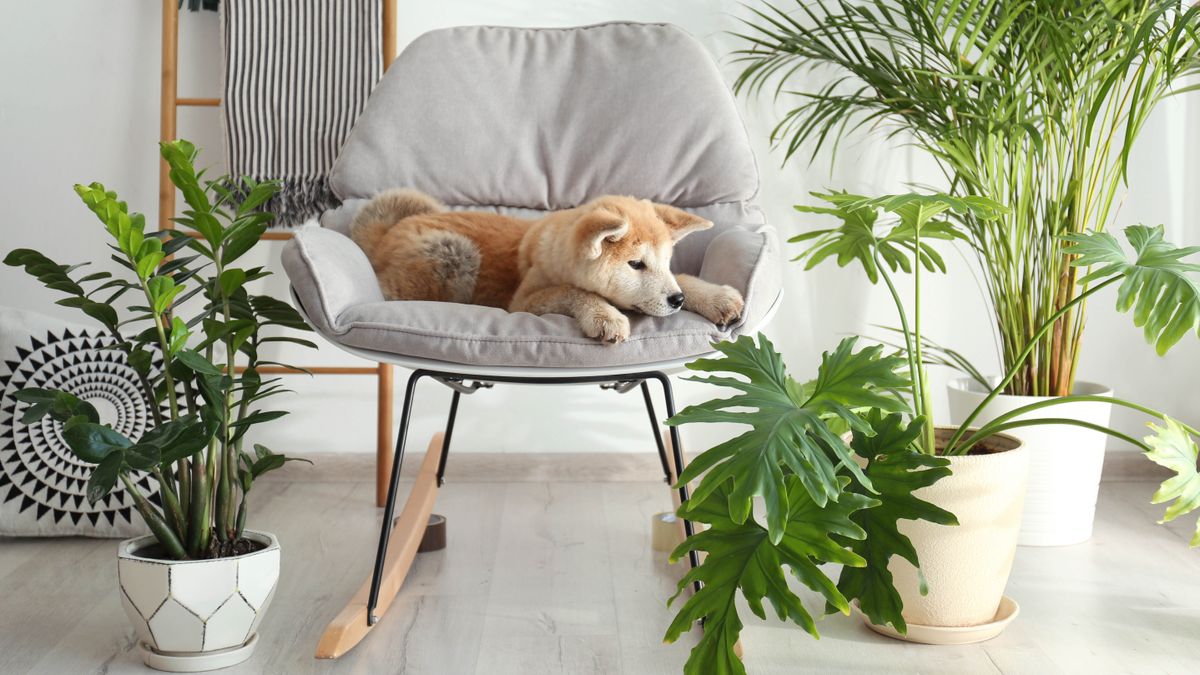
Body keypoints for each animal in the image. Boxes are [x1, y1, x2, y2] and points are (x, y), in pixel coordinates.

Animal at [350, 187, 739, 341]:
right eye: (635, 264)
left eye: (665, 262)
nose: (676, 301)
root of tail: (389, 233)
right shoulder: (524, 301)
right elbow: (573, 291)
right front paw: (605, 315)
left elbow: (686, 278)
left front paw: (715, 297)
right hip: (453, 252)